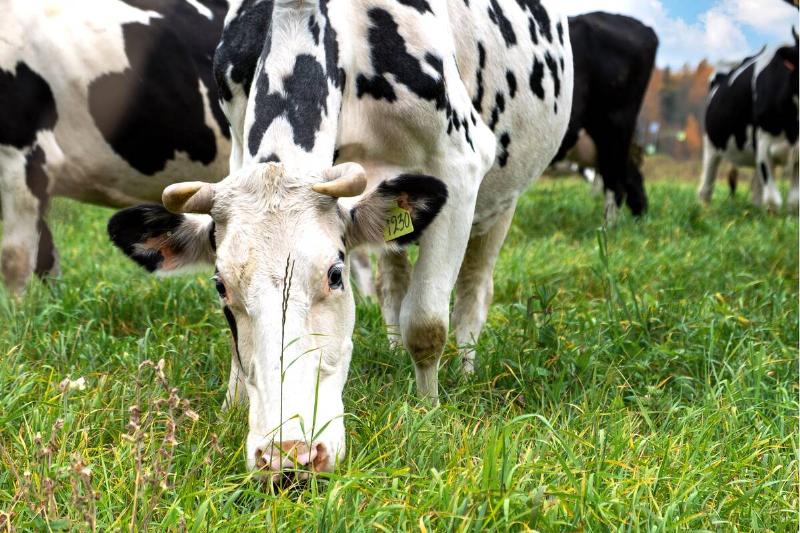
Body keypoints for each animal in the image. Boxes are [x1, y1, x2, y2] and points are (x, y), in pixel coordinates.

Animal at [108, 0, 573, 476]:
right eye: (221, 286)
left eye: (335, 274)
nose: (288, 455)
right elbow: (239, 349)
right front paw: (231, 409)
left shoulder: (458, 163)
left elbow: (426, 323)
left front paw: (429, 408)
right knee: (393, 283)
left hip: (500, 202)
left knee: (472, 293)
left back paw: (464, 367)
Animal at [698, 32, 799, 210]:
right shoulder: (763, 145)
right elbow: (773, 200)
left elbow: (794, 201)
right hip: (711, 144)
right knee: (706, 186)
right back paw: (705, 210)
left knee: (756, 189)